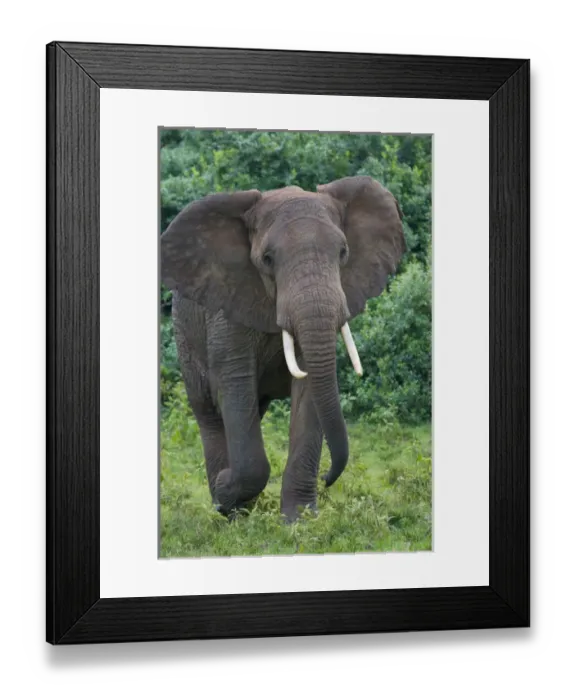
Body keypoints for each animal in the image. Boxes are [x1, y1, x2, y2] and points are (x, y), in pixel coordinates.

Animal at [160, 175, 406, 522]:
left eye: (343, 252)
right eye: (267, 259)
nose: (328, 477)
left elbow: (310, 390)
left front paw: (299, 521)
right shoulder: (227, 308)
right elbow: (234, 386)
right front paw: (226, 491)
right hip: (185, 334)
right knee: (209, 413)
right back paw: (228, 511)